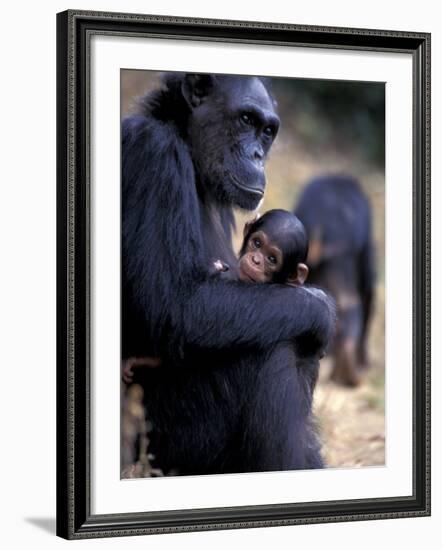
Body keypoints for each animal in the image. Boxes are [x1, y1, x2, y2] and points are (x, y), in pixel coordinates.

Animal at [121, 72, 334, 478]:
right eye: (246, 120)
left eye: (267, 131)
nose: (257, 154)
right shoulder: (155, 155)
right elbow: (178, 308)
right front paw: (321, 307)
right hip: (166, 447)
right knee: (274, 345)